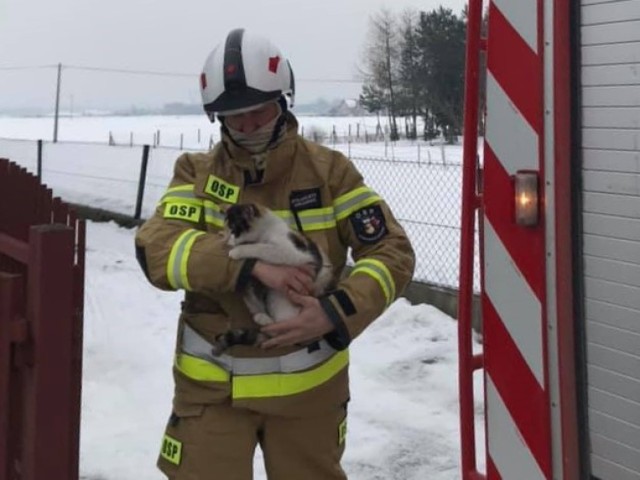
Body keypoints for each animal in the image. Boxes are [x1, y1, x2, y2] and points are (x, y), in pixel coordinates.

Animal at [212, 201, 336, 354]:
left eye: (234, 230)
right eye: (227, 228)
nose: (227, 239)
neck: (267, 230)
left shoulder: (292, 253)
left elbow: (261, 247)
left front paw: (237, 251)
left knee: (282, 331)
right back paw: (262, 318)